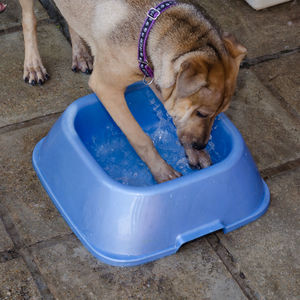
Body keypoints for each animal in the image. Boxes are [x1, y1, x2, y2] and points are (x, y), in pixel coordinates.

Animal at [20, 0, 246, 183]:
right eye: (202, 113)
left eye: (218, 114)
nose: (200, 145)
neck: (149, 28)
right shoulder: (106, 88)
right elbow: (140, 138)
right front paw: (163, 171)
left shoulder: (158, 81)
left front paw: (194, 154)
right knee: (29, 20)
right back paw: (33, 65)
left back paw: (80, 53)